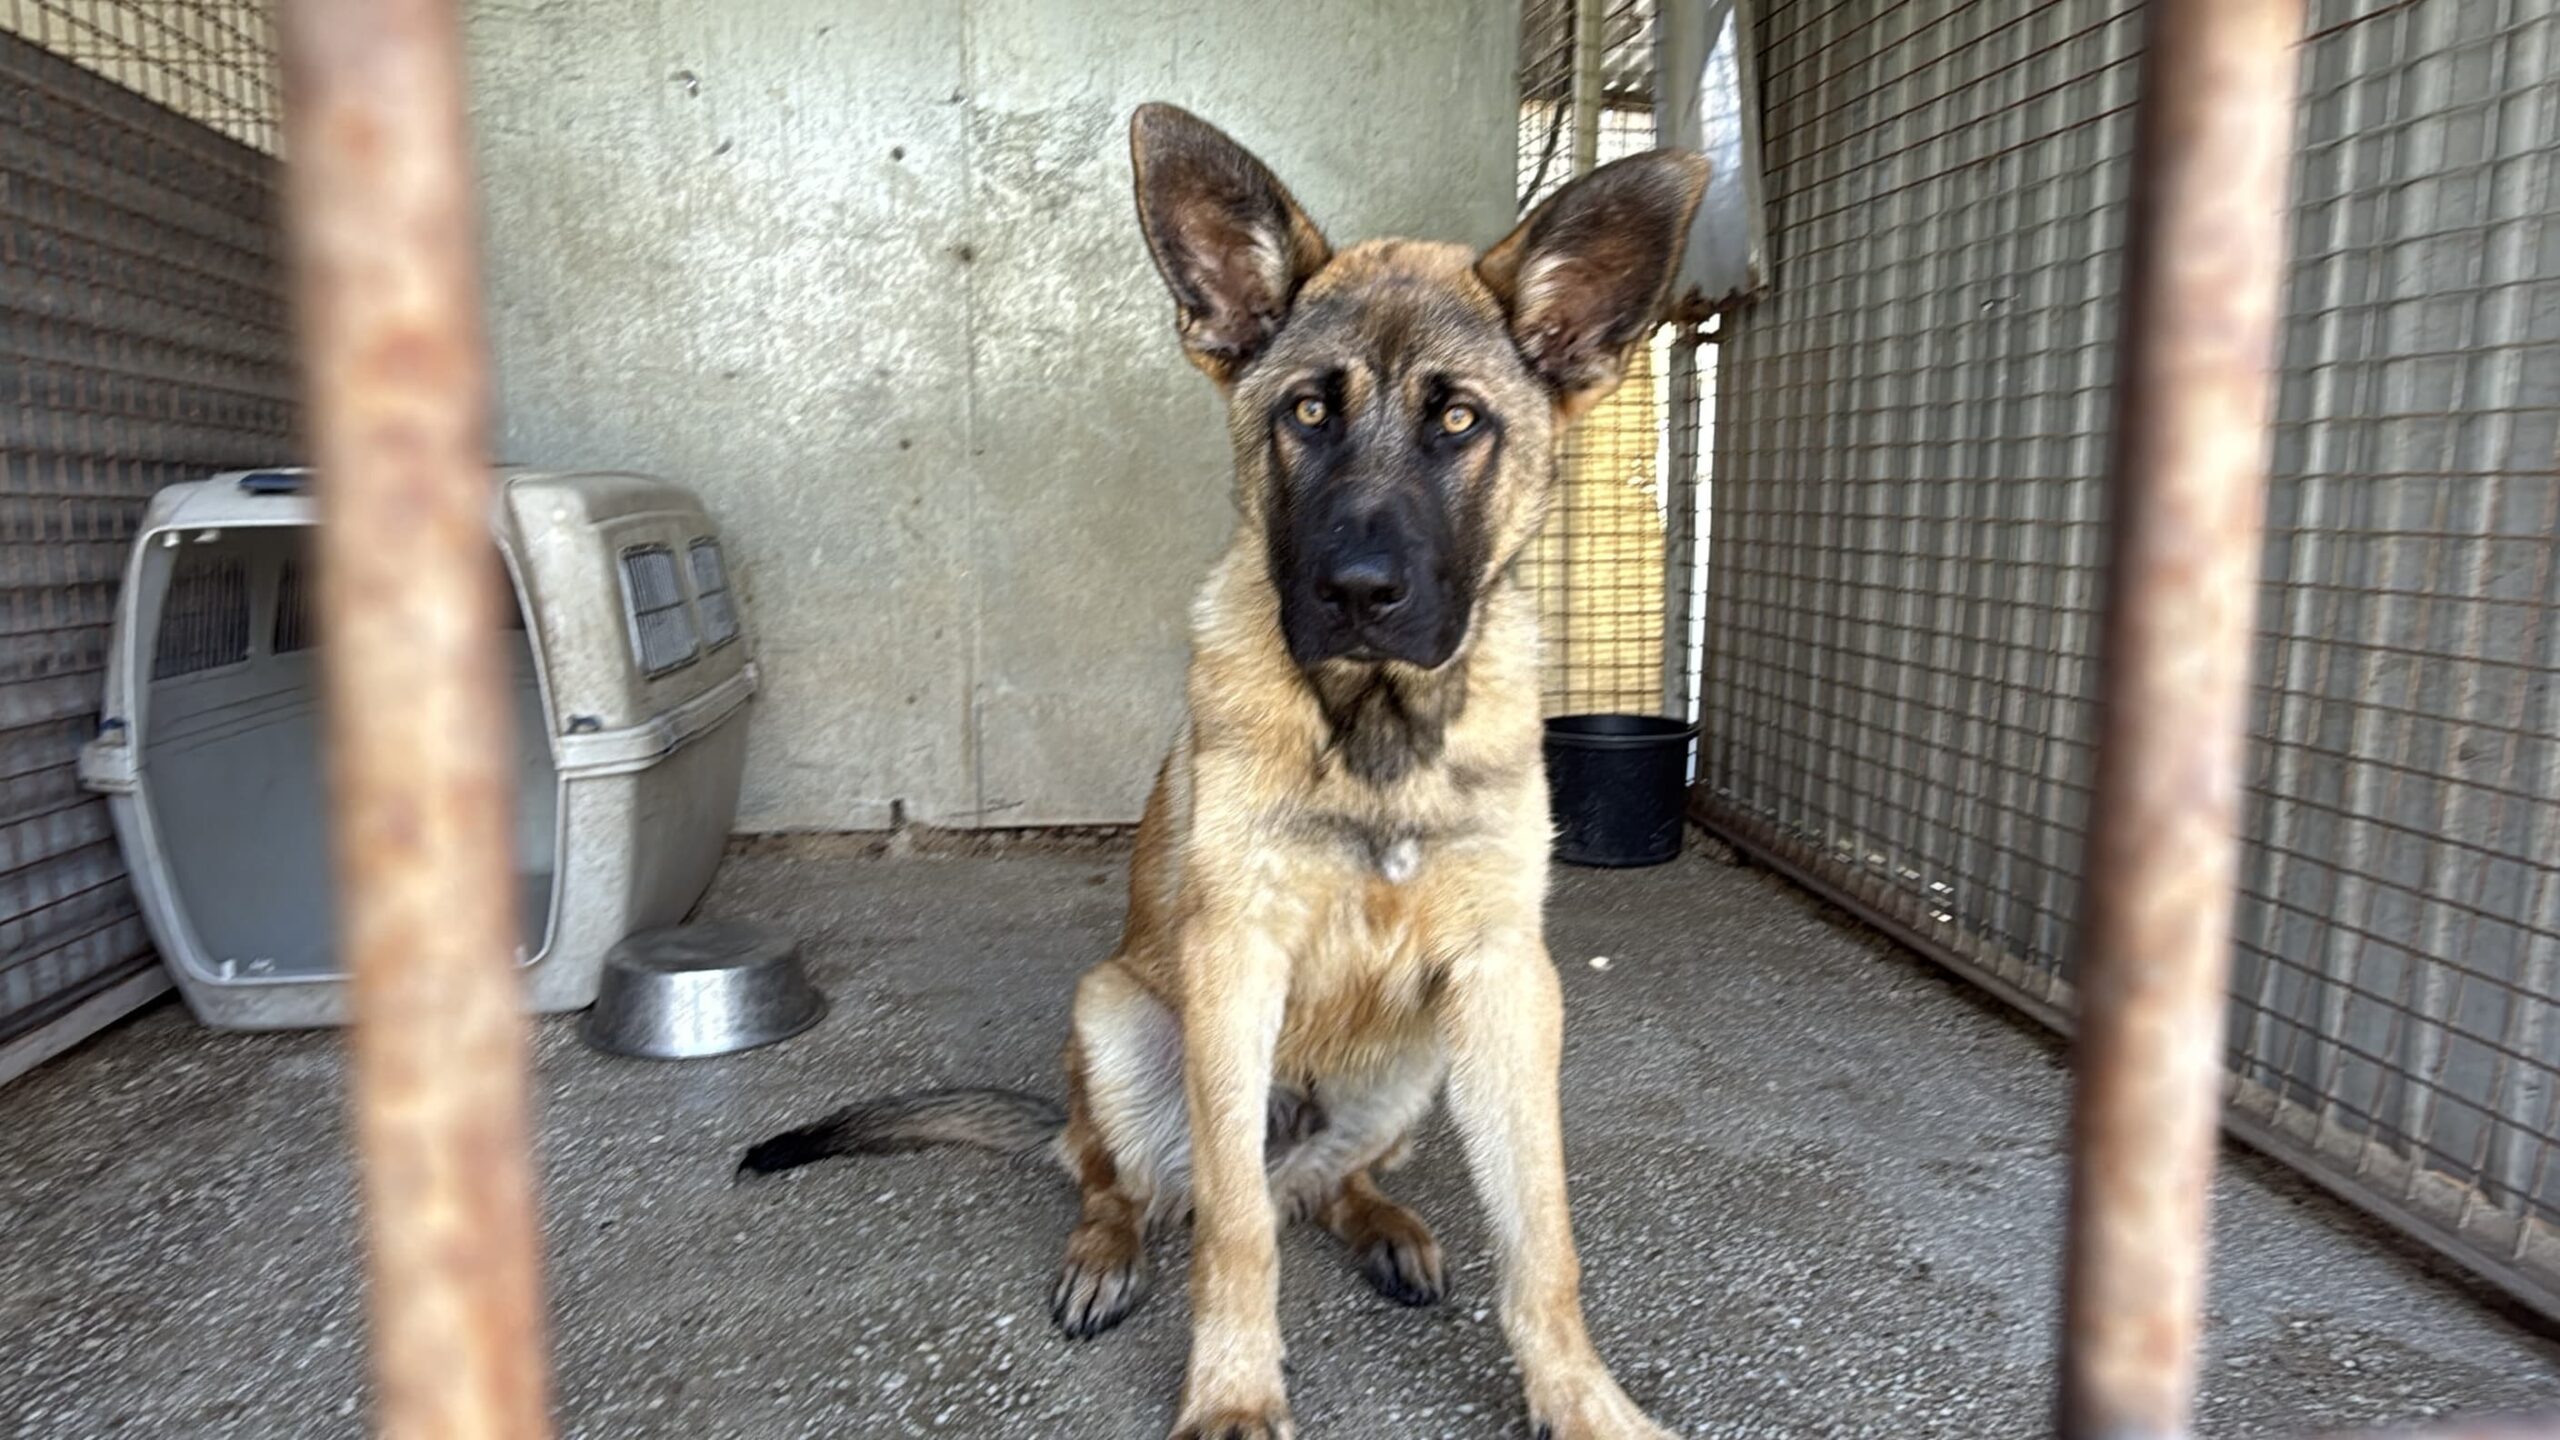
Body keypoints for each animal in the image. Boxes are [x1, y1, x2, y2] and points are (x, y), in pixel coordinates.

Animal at [742, 103, 1708, 1440]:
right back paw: (1105, 1256)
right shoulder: (1233, 962)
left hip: (1415, 1062)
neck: (1373, 732)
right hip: (1119, 1017)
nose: (1357, 593)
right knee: (1139, 1186)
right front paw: (1234, 1394)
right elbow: (1236, 1231)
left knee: (1326, 1184)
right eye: (1306, 414)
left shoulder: (1509, 981)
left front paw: (1581, 1400)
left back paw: (1383, 1224)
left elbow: (1542, 1234)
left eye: (1459, 422)